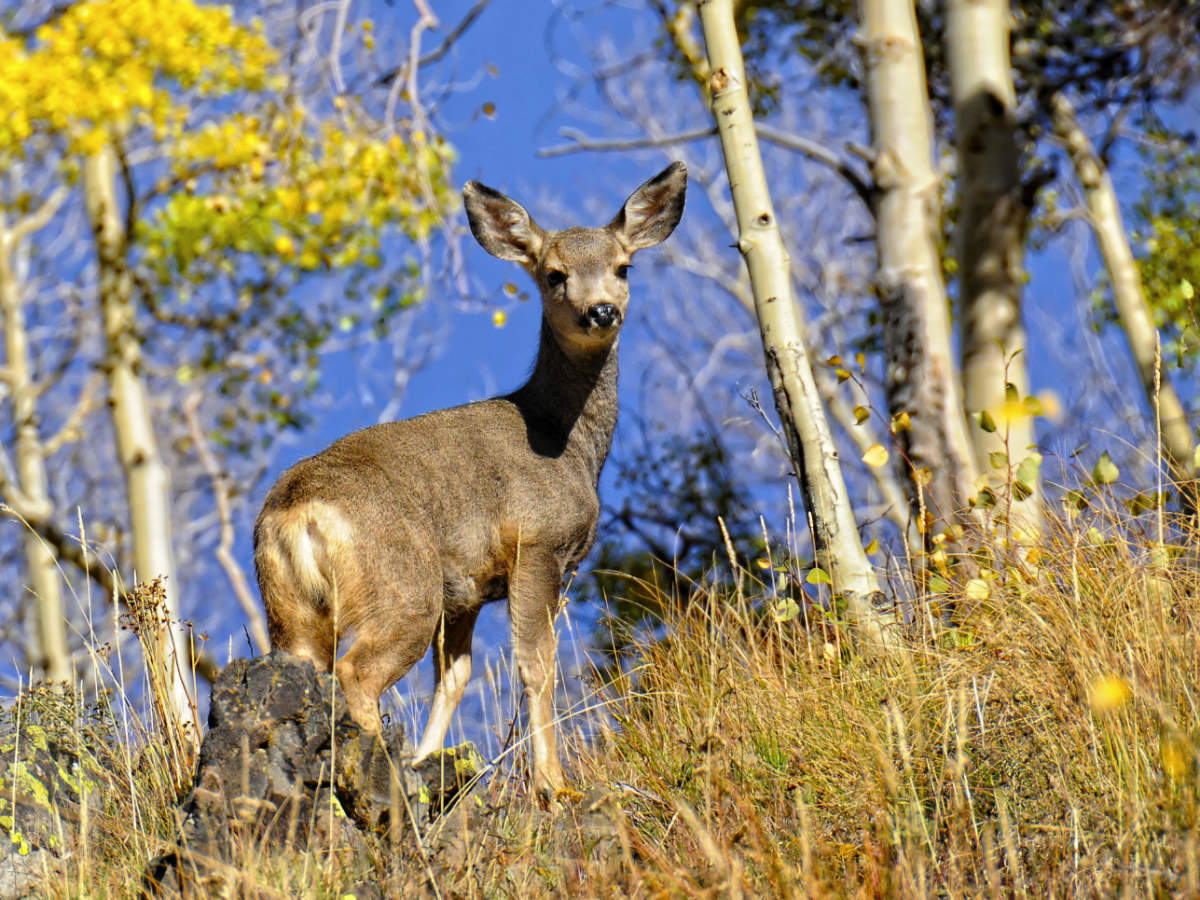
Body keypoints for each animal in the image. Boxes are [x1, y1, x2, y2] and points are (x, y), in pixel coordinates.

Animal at [254, 162, 686, 799]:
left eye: (623, 266)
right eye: (554, 275)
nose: (602, 311)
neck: (564, 438)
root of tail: (296, 509)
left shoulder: (469, 588)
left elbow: (454, 677)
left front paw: (432, 760)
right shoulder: (537, 544)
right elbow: (536, 664)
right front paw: (553, 786)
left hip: (294, 608)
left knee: (309, 670)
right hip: (403, 584)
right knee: (358, 671)